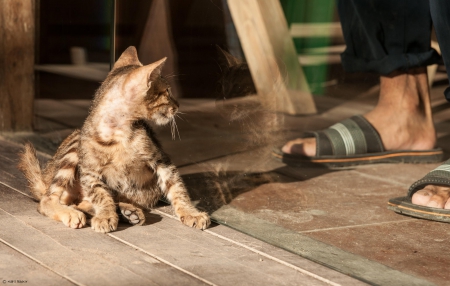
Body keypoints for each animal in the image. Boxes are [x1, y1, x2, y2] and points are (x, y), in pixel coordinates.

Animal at [18, 46, 212, 232]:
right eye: (167, 92)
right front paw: (105, 216)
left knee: (84, 203)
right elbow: (101, 196)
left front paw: (191, 213)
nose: (178, 105)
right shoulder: (90, 171)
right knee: (47, 200)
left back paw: (128, 211)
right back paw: (74, 213)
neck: (118, 132)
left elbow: (177, 188)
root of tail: (45, 177)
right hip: (72, 151)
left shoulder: (162, 160)